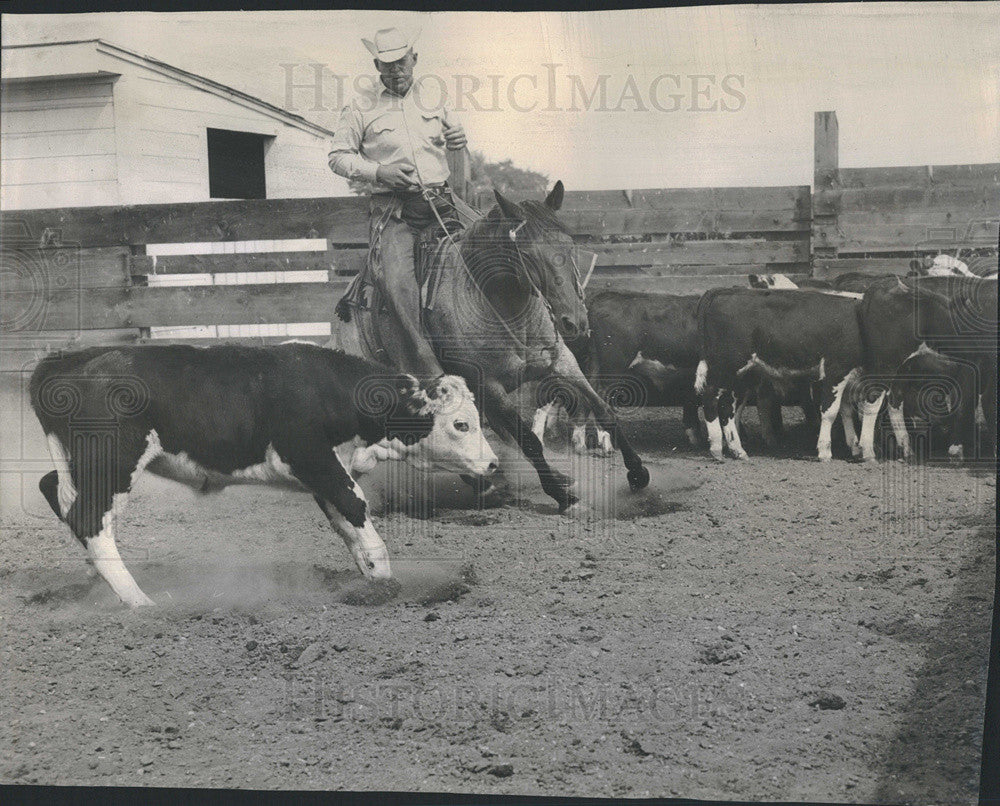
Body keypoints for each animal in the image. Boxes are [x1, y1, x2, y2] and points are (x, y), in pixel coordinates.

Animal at [29, 340, 498, 608]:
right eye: (461, 424)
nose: (493, 464)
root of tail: (70, 363)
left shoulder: (327, 472)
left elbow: (349, 527)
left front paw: (373, 583)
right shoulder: (315, 461)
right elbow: (358, 513)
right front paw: (384, 589)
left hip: (82, 464)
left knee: (60, 495)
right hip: (112, 461)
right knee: (89, 518)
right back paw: (140, 602)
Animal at [332, 182, 652, 512]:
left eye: (569, 244)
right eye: (527, 254)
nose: (573, 321)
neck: (503, 308)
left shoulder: (562, 360)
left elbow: (604, 410)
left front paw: (637, 473)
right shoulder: (489, 384)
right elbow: (529, 440)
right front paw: (563, 498)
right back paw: (485, 484)